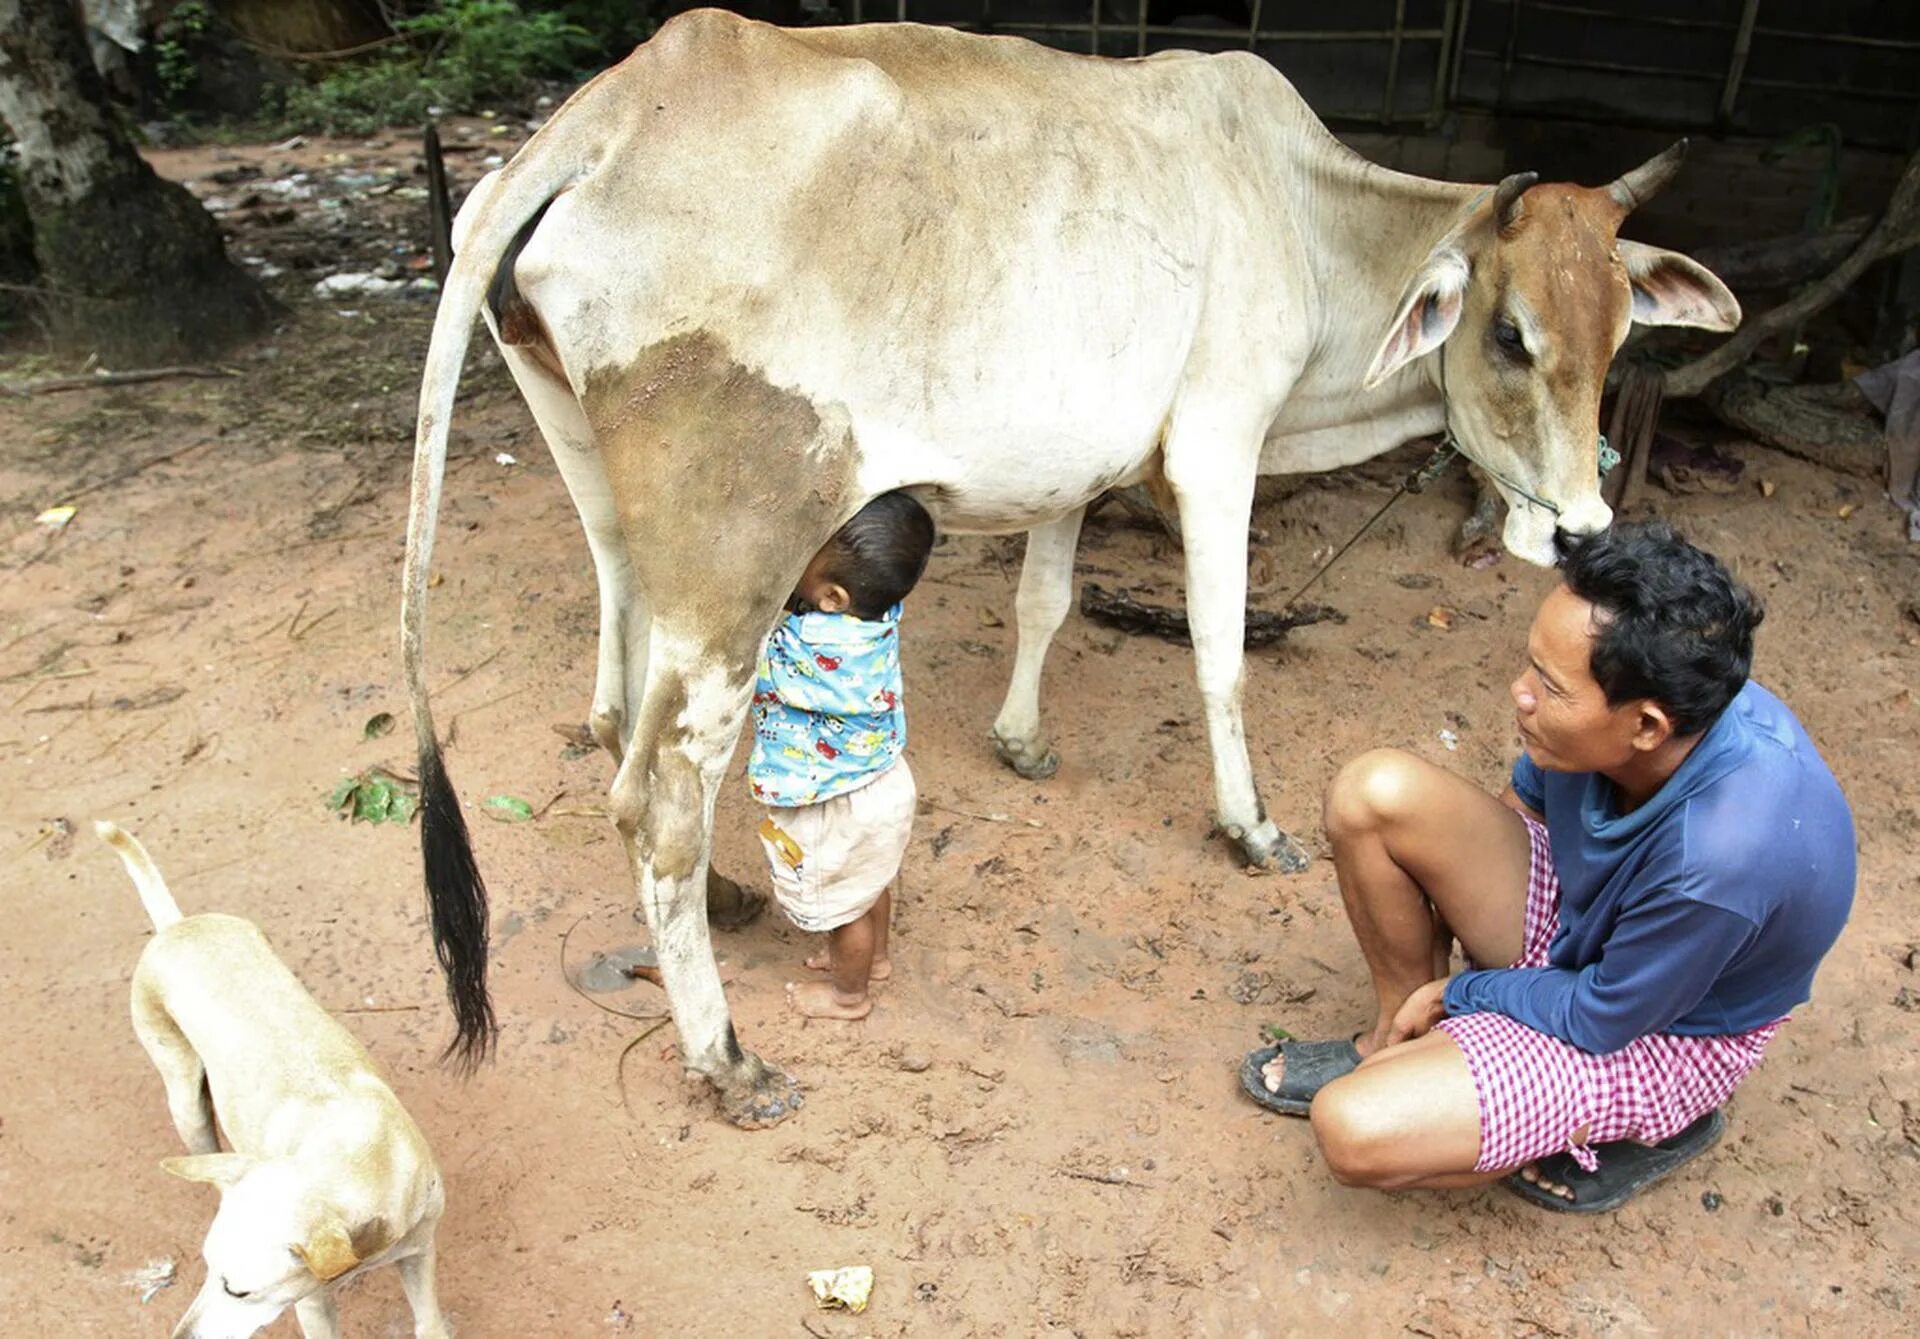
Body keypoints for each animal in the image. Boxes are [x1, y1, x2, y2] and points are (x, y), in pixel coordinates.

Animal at [101, 814, 453, 1337]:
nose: (178, 1336)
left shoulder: (420, 1251)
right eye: (206, 1266)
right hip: (184, 1098)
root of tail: (176, 926)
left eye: (238, 1290)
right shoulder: (310, 1301)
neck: (358, 1151)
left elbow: (429, 1322)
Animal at [401, 10, 1743, 1121]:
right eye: (1511, 336)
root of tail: (617, 103)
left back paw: (727, 902)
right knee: (661, 801)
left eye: (1623, 330)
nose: (1578, 529)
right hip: (736, 556)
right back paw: (725, 1058)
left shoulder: (1079, 461)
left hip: (610, 503)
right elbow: (1220, 652)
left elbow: (1045, 601)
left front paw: (1022, 738)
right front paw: (1251, 825)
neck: (1305, 216)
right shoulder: (1217, 443)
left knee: (613, 694)